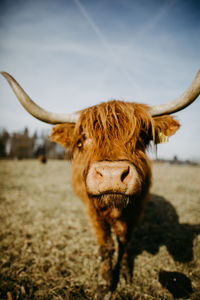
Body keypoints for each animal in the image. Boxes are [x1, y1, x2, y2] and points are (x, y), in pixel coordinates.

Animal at [1, 71, 200, 298]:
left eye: (141, 135)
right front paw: (104, 284)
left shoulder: (137, 210)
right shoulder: (93, 211)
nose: (112, 175)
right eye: (84, 137)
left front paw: (125, 274)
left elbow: (124, 241)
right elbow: (106, 246)